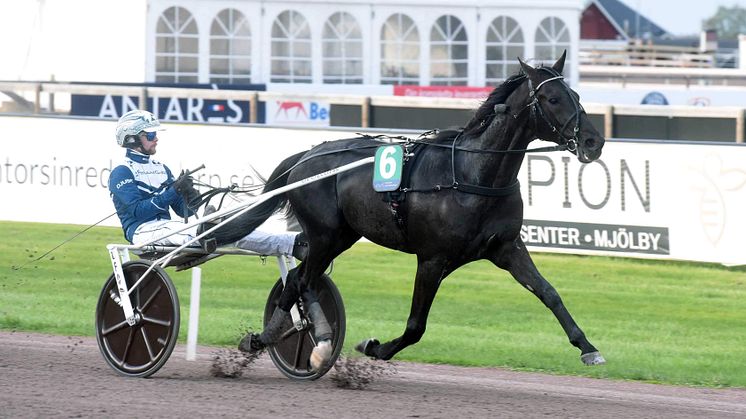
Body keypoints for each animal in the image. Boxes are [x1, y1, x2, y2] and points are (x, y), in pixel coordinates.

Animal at [209, 52, 604, 370]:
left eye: (577, 96)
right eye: (553, 98)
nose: (593, 141)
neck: (471, 175)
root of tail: (306, 156)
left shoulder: (505, 248)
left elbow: (549, 293)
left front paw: (587, 347)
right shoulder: (431, 258)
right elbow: (416, 325)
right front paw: (376, 347)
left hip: (338, 236)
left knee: (295, 280)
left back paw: (269, 338)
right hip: (325, 234)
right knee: (304, 281)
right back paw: (316, 344)